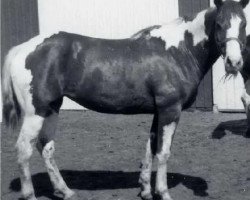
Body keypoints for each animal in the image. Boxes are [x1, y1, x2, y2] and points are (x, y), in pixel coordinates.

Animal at [0, 0, 249, 200]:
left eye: (244, 24)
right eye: (220, 24)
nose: (234, 62)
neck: (178, 51)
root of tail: (22, 49)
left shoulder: (158, 111)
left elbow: (151, 148)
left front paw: (146, 190)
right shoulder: (170, 110)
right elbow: (163, 152)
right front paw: (163, 192)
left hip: (52, 109)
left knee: (47, 149)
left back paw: (66, 191)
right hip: (35, 113)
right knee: (24, 150)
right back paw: (31, 195)